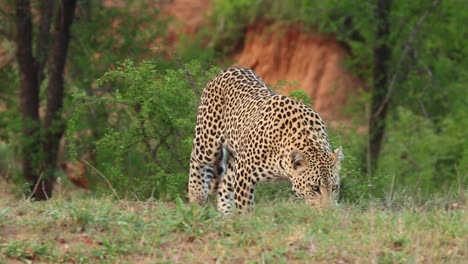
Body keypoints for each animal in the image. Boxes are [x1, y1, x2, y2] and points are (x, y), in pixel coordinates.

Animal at [186, 67, 344, 213]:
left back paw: (227, 215)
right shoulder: (244, 173)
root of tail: (229, 69)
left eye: (335, 187)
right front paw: (245, 221)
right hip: (208, 142)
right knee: (196, 161)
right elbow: (245, 207)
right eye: (315, 188)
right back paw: (196, 199)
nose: (329, 212)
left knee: (224, 184)